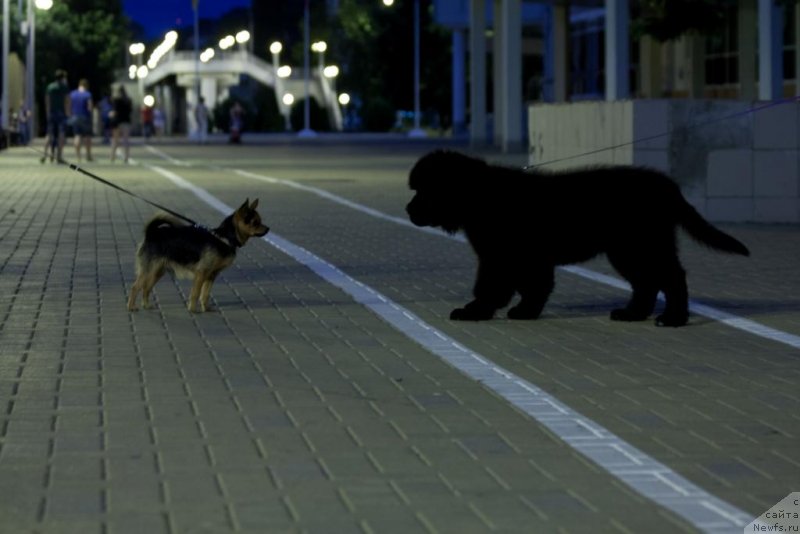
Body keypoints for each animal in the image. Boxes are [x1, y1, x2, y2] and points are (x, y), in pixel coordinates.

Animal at [127, 199, 268, 312]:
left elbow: (205, 294)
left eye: (260, 221)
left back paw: (146, 305)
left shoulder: (211, 275)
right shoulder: (202, 273)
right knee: (135, 287)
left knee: (146, 288)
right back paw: (131, 307)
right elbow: (196, 293)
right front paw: (193, 310)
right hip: (148, 271)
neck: (223, 238)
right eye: (255, 222)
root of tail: (152, 233)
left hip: (157, 272)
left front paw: (206, 308)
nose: (268, 229)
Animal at [406, 149, 752, 328]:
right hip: (627, 250)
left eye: (424, 190)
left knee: (671, 277)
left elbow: (493, 287)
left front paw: (475, 311)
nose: (408, 210)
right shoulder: (528, 258)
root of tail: (668, 186)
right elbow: (535, 286)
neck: (479, 196)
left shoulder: (500, 256)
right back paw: (632, 314)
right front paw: (526, 311)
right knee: (647, 282)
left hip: (642, 244)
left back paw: (673, 318)